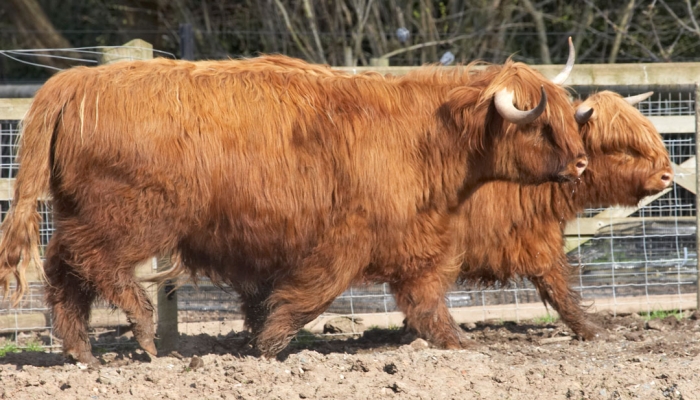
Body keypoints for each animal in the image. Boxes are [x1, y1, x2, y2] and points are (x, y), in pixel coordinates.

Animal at [0, 51, 586, 366]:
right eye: (540, 124)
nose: (581, 163)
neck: (422, 138)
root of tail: (73, 81)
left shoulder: (414, 241)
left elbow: (427, 302)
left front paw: (457, 344)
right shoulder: (344, 239)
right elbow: (308, 297)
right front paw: (267, 344)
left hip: (83, 212)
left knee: (63, 272)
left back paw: (82, 351)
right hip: (129, 216)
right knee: (89, 262)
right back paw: (143, 330)